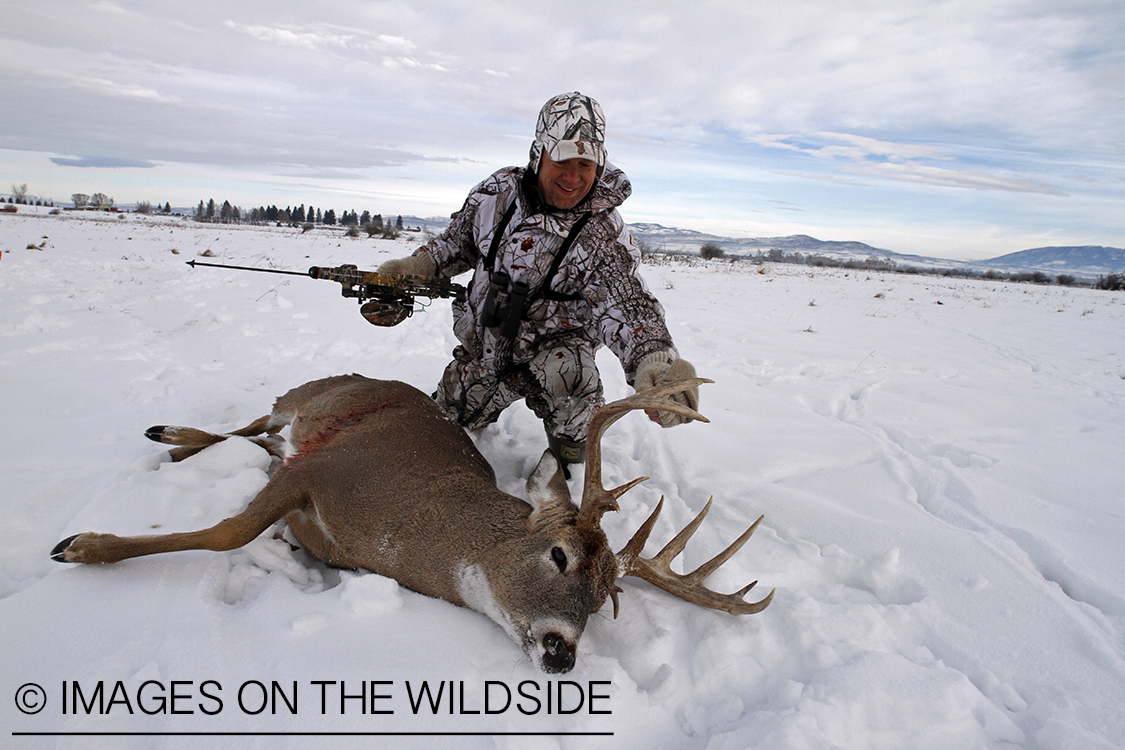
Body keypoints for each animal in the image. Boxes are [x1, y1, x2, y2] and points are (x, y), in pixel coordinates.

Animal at [51, 375, 773, 673]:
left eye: (603, 603)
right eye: (559, 554)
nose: (561, 653)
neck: (401, 529)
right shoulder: (323, 470)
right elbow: (228, 532)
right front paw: (79, 545)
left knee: (253, 437)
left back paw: (173, 442)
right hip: (300, 401)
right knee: (256, 422)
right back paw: (167, 434)